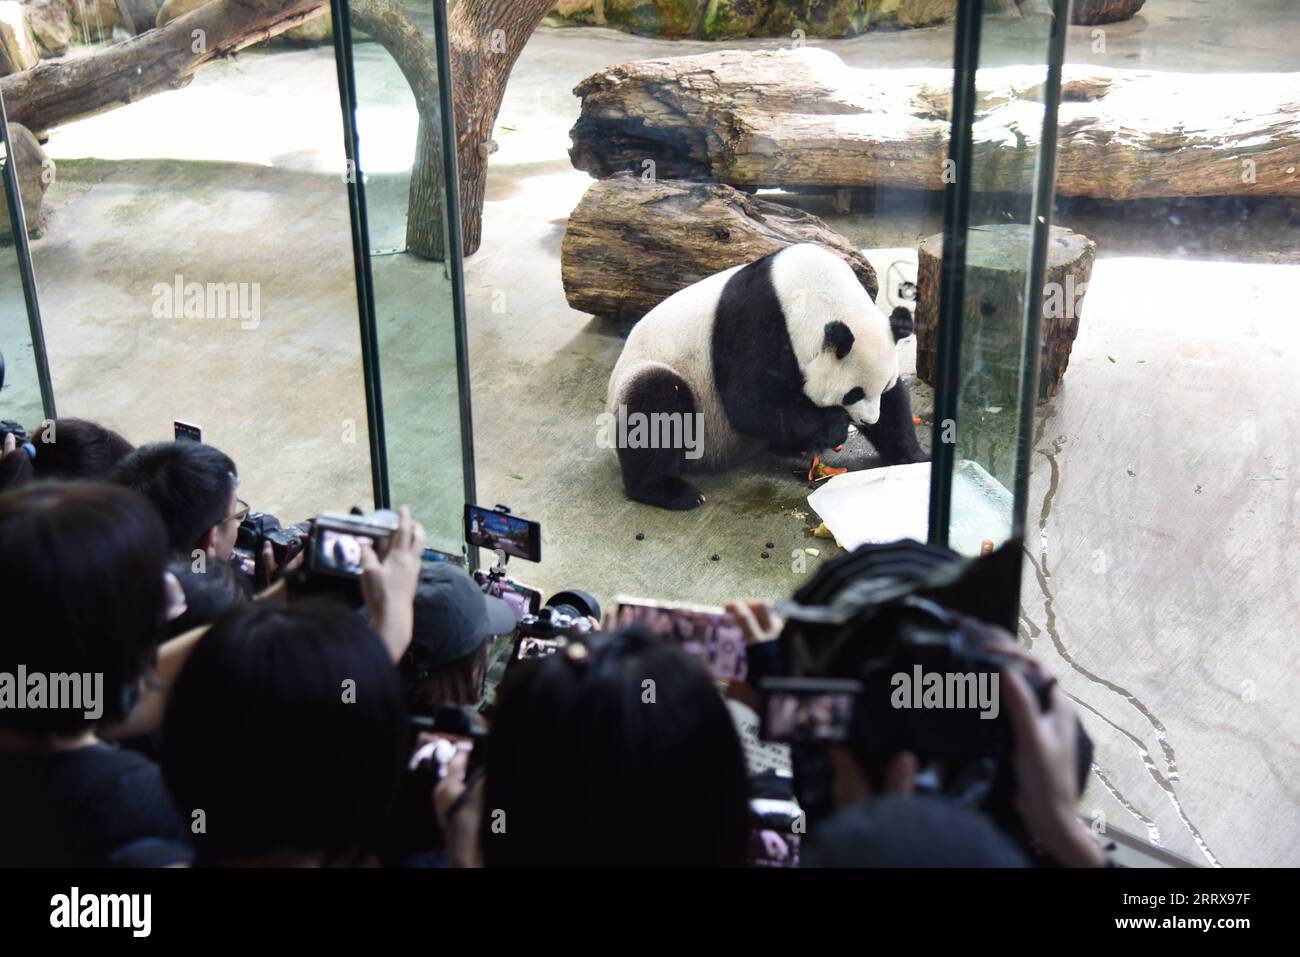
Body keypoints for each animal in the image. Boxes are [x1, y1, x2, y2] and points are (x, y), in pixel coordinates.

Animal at [606, 242, 927, 510]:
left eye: (881, 388)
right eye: (854, 393)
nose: (868, 420)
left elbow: (895, 406)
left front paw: (914, 457)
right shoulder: (754, 321)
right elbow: (749, 404)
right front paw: (833, 426)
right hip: (665, 383)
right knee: (655, 404)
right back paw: (669, 491)